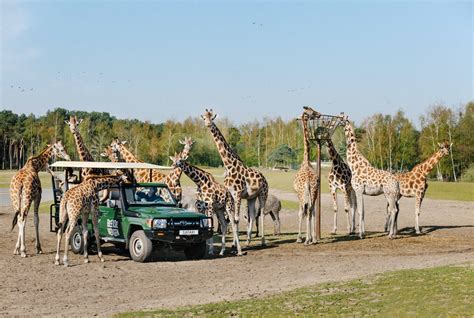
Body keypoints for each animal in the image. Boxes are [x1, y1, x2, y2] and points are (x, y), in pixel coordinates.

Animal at [200, 109, 266, 246]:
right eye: (204, 118)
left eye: (212, 118)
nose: (208, 124)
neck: (229, 165)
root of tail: (264, 178)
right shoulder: (231, 194)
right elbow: (231, 219)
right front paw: (235, 243)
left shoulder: (237, 194)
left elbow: (235, 219)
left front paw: (235, 244)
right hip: (251, 197)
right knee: (252, 215)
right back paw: (248, 240)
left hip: (263, 194)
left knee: (261, 214)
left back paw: (262, 240)